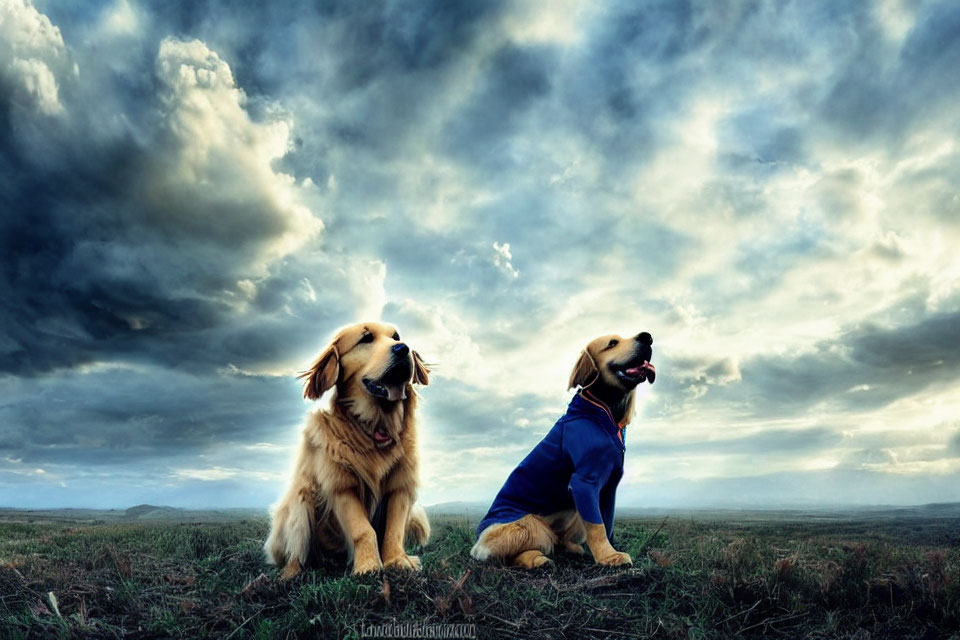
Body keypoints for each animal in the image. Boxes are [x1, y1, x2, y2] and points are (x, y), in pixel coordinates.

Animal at [262, 322, 428, 576]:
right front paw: (368, 565)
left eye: (396, 337)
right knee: (296, 551)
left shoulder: (400, 485)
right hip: (300, 500)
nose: (403, 349)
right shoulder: (342, 484)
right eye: (366, 338)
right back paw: (291, 573)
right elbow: (363, 530)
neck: (376, 426)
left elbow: (394, 529)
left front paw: (398, 560)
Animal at [470, 332, 652, 568]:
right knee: (517, 550)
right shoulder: (584, 482)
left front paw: (609, 551)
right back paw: (536, 559)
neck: (604, 410)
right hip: (529, 526)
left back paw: (571, 549)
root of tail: (478, 540)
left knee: (559, 542)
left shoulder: (608, 488)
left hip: (572, 511)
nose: (647, 337)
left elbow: (607, 522)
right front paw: (609, 557)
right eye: (612, 343)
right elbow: (597, 526)